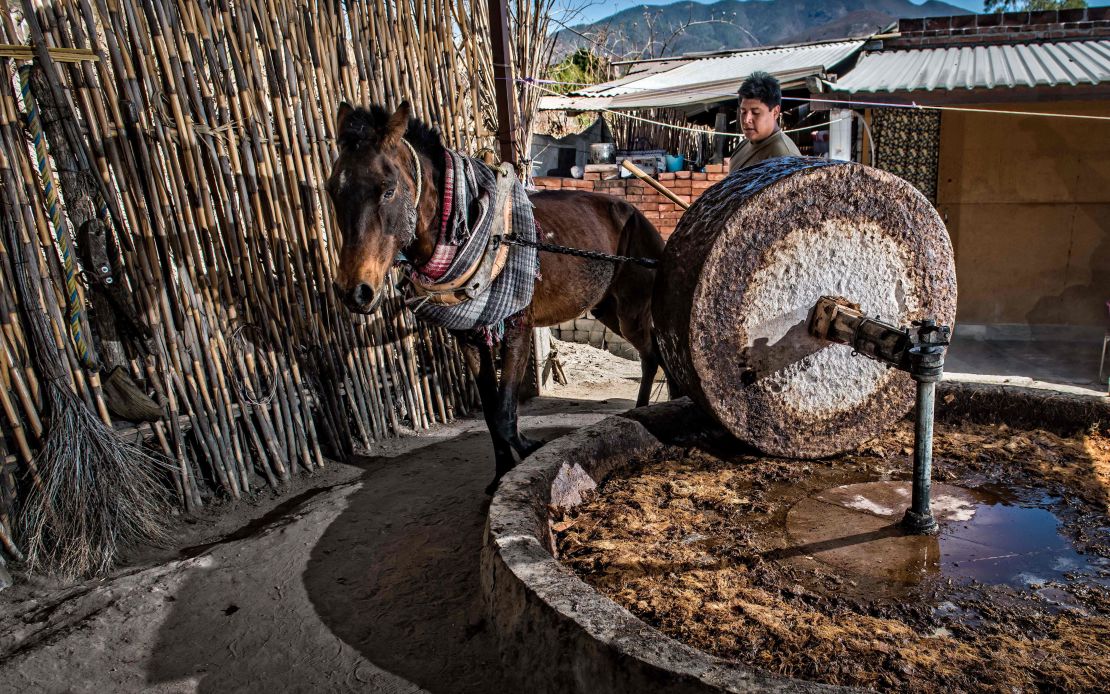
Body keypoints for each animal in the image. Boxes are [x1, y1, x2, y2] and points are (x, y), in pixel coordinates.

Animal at [324, 102, 661, 493]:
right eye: (332, 190)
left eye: (388, 190)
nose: (355, 291)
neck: (474, 231)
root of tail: (638, 215)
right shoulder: (469, 337)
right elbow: (490, 411)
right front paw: (502, 473)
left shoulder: (516, 327)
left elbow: (503, 413)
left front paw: (530, 447)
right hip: (607, 310)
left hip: (631, 311)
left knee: (652, 354)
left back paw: (646, 409)